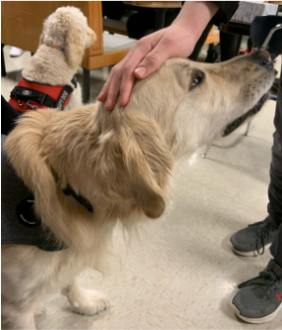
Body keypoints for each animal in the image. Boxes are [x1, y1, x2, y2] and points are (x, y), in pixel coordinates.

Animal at [1, 50, 276, 328]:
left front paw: (83, 302)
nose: (266, 55)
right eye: (196, 79)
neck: (67, 186)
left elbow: (70, 279)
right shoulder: (15, 307)